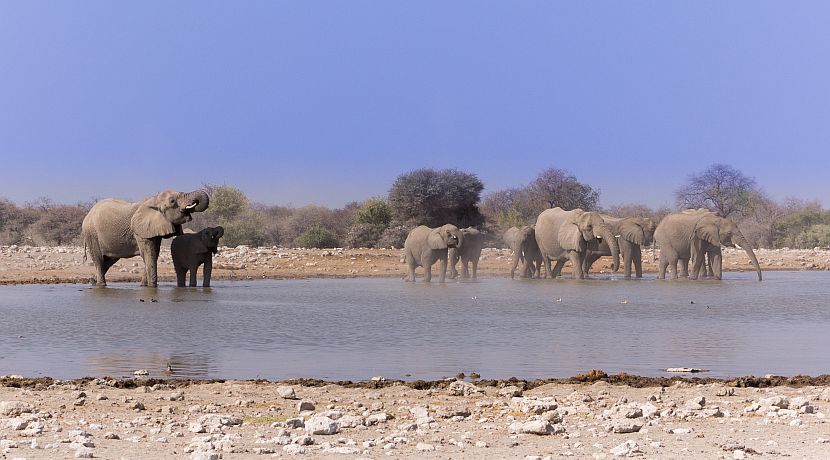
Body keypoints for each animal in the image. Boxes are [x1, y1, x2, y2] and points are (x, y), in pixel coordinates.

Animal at [82, 189, 210, 287]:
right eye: (172, 201)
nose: (194, 202)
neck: (154, 199)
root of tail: (88, 214)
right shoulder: (140, 230)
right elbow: (149, 254)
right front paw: (152, 287)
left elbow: (154, 253)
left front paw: (144, 286)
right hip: (91, 234)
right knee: (99, 259)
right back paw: (101, 285)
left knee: (109, 260)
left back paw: (93, 281)